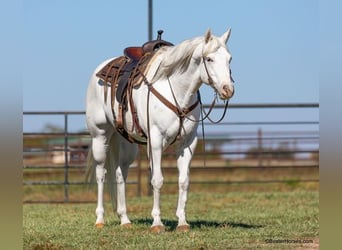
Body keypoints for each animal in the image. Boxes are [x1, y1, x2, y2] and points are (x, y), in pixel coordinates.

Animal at [85, 28, 235, 232]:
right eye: (209, 59)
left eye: (229, 58)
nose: (228, 90)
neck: (178, 91)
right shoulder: (155, 141)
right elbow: (157, 180)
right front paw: (157, 223)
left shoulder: (188, 143)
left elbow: (184, 181)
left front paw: (182, 222)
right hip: (100, 135)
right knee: (101, 173)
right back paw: (100, 219)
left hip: (126, 143)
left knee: (120, 174)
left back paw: (125, 219)